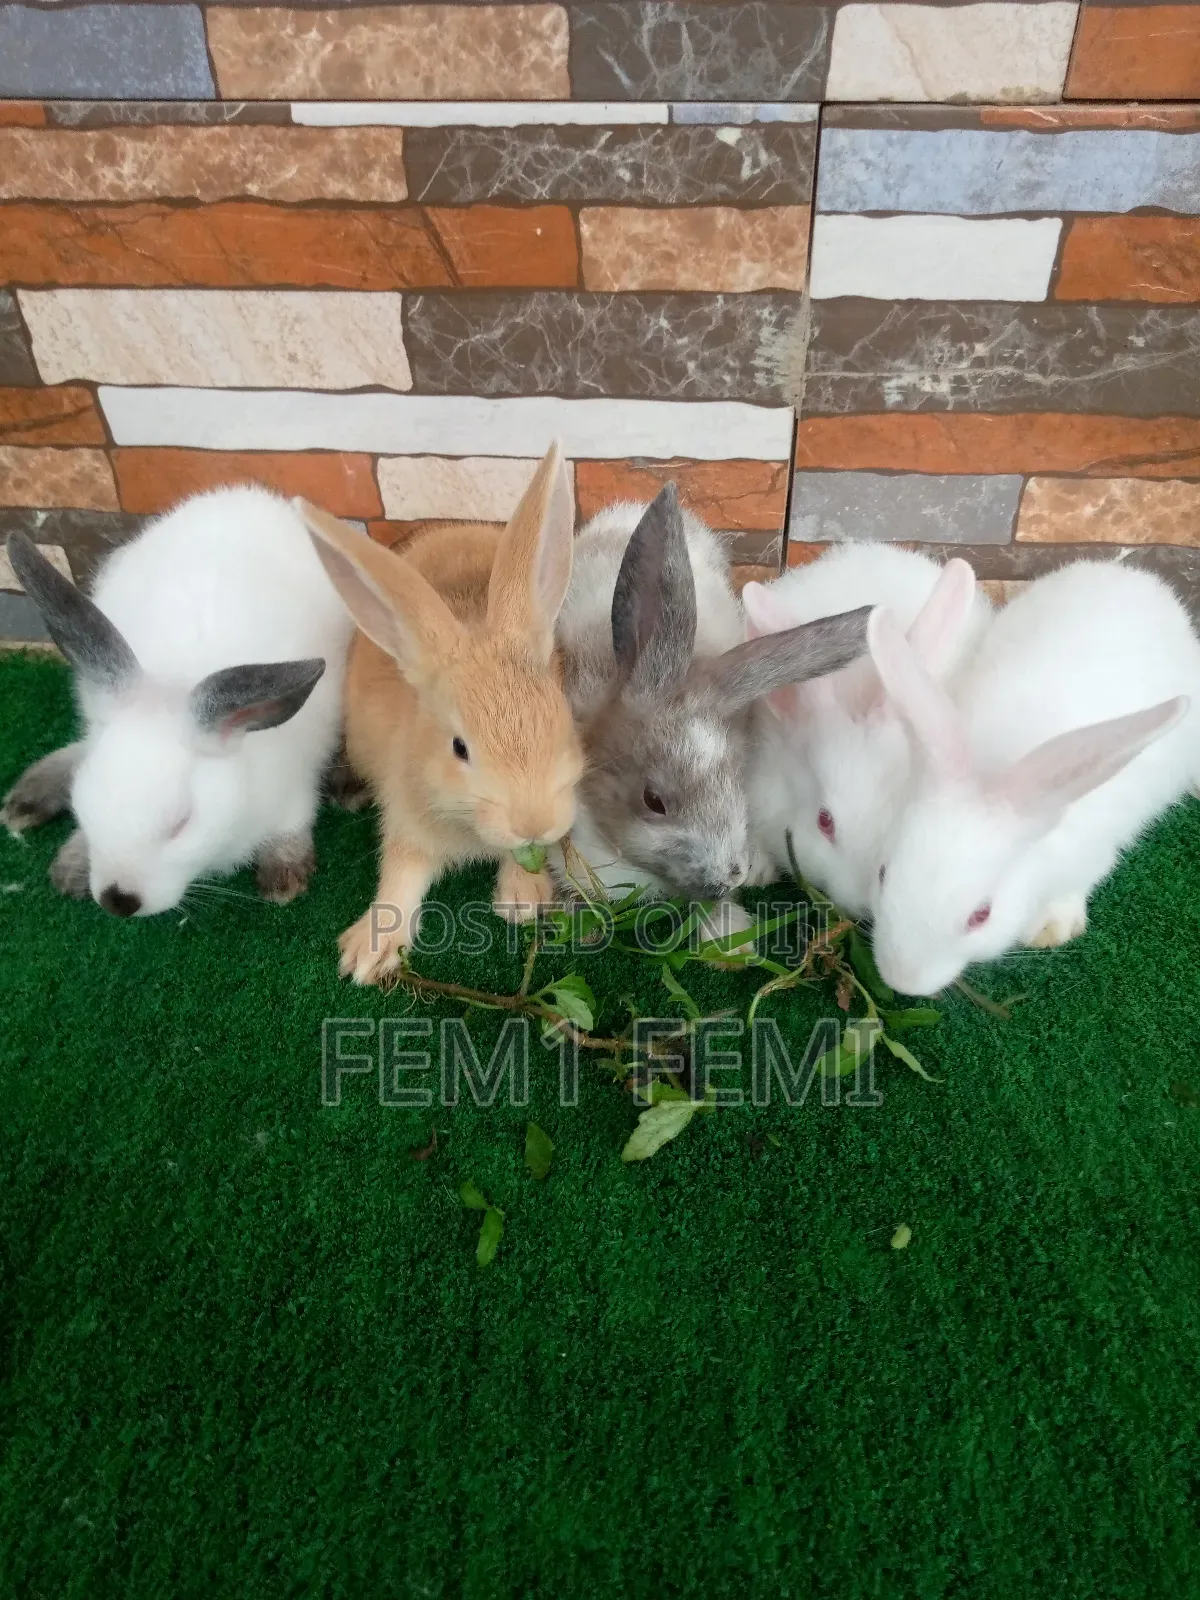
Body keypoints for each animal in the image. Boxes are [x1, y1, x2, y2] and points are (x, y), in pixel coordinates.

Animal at [1, 486, 353, 915]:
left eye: (182, 824)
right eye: (85, 803)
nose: (118, 901)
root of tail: (247, 495)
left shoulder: (295, 787)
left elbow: (293, 825)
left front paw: (284, 878)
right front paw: (72, 866)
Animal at [297, 443, 582, 986]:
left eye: (562, 720)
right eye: (459, 747)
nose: (534, 823)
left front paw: (523, 901)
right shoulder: (407, 820)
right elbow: (400, 877)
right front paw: (368, 954)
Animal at [866, 559, 1200, 997]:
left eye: (982, 915)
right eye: (883, 874)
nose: (903, 982)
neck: (995, 771)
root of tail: (1133, 574)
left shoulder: (1091, 855)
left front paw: (1051, 929)